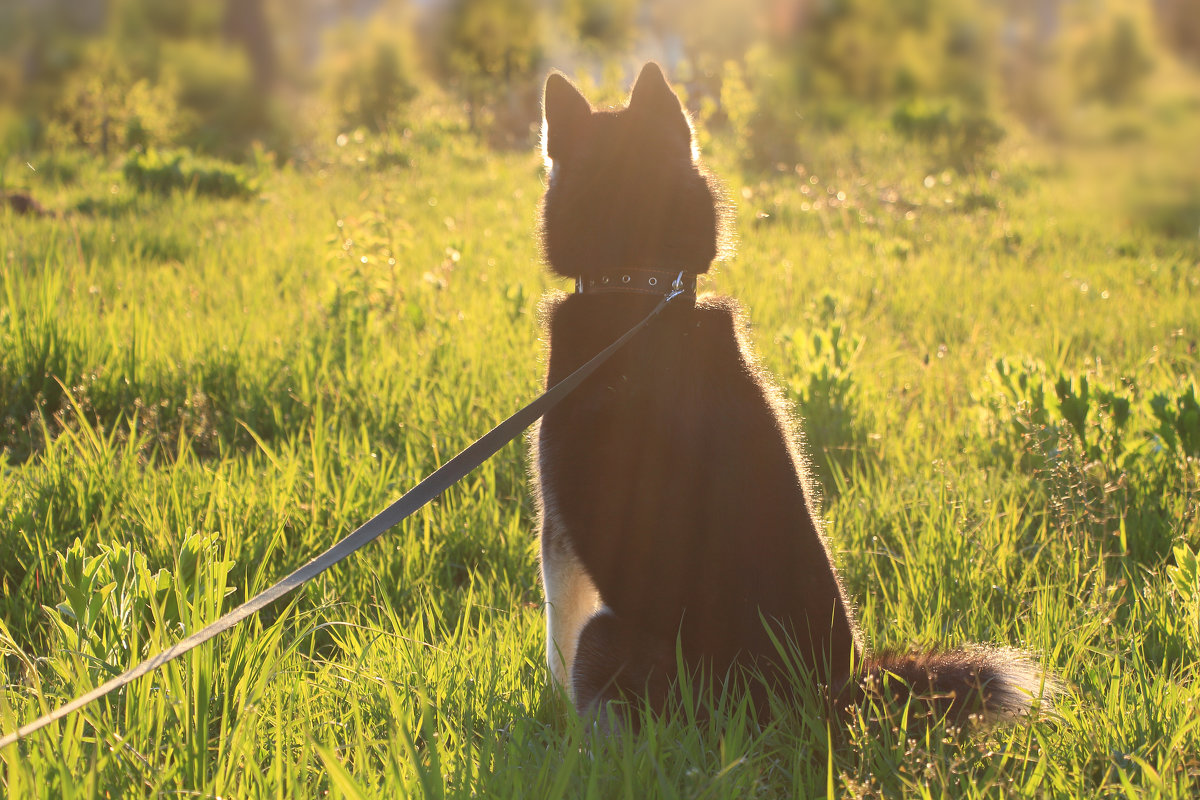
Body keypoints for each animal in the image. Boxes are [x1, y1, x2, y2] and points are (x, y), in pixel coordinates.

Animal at [530, 61, 1056, 724]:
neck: (638, 287)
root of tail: (831, 696)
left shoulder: (557, 532)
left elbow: (557, 640)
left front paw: (548, 716)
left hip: (612, 638)